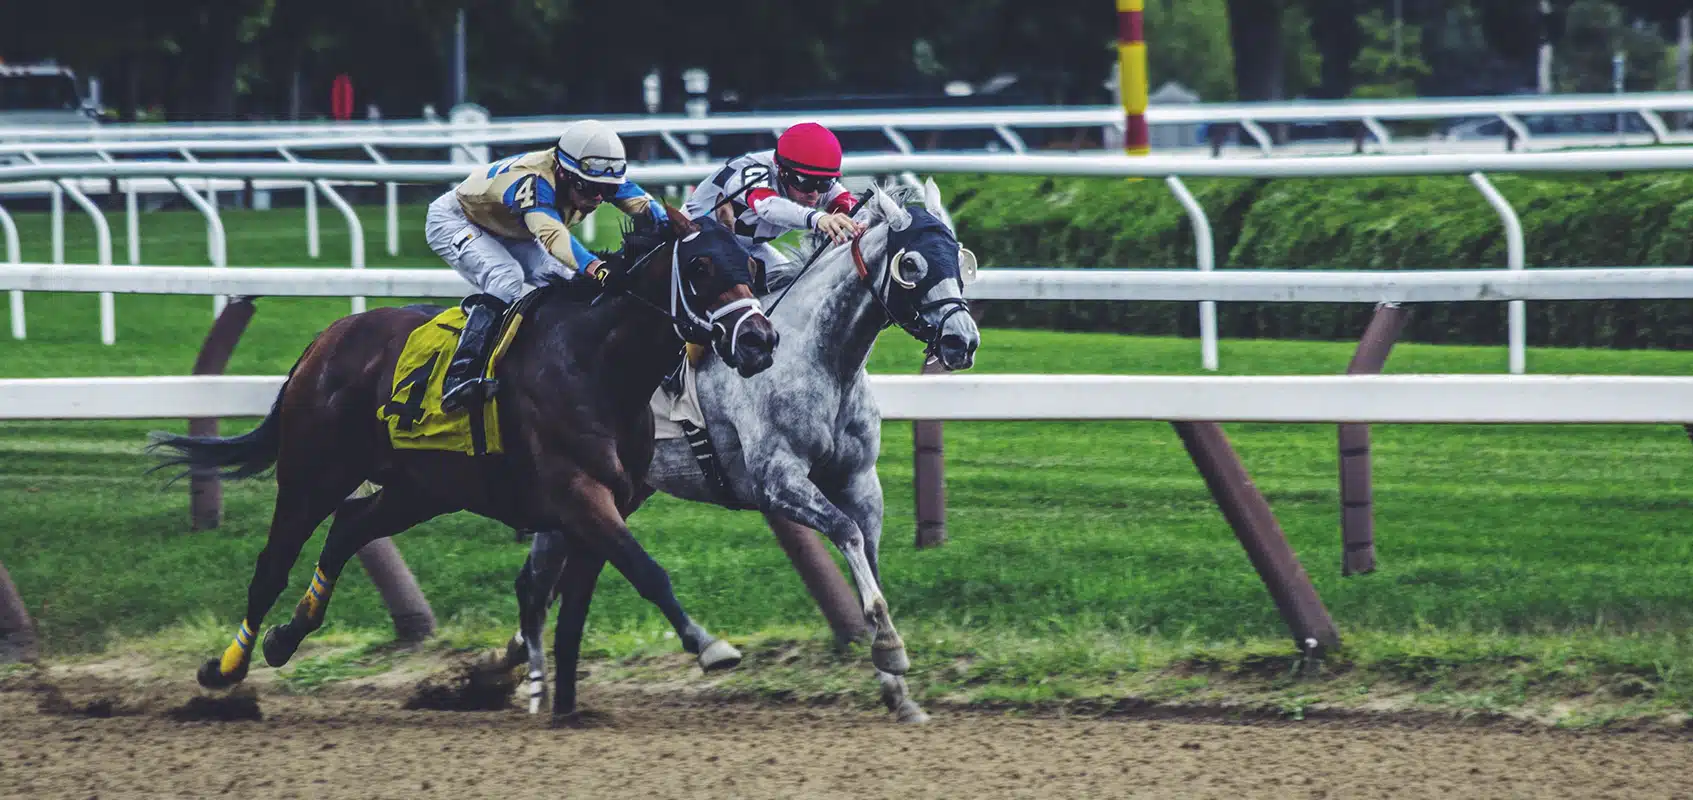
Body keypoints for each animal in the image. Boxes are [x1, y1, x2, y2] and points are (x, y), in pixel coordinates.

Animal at [148, 208, 775, 690]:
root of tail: (324, 341)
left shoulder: (609, 502)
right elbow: (646, 571)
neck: (598, 365)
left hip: (421, 488)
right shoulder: (578, 494)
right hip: (312, 474)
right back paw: (227, 667)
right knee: (272, 565)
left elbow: (572, 596)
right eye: (698, 266)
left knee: (349, 528)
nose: (760, 340)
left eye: (752, 266)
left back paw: (284, 638)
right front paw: (708, 644)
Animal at [497, 180, 981, 723]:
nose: (962, 342)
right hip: (576, 489)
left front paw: (898, 688)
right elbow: (847, 533)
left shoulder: (859, 479)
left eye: (961, 259)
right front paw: (890, 649)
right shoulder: (777, 481)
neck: (817, 356)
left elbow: (870, 555)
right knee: (535, 586)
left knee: (540, 584)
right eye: (912, 264)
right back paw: (529, 685)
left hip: (608, 496)